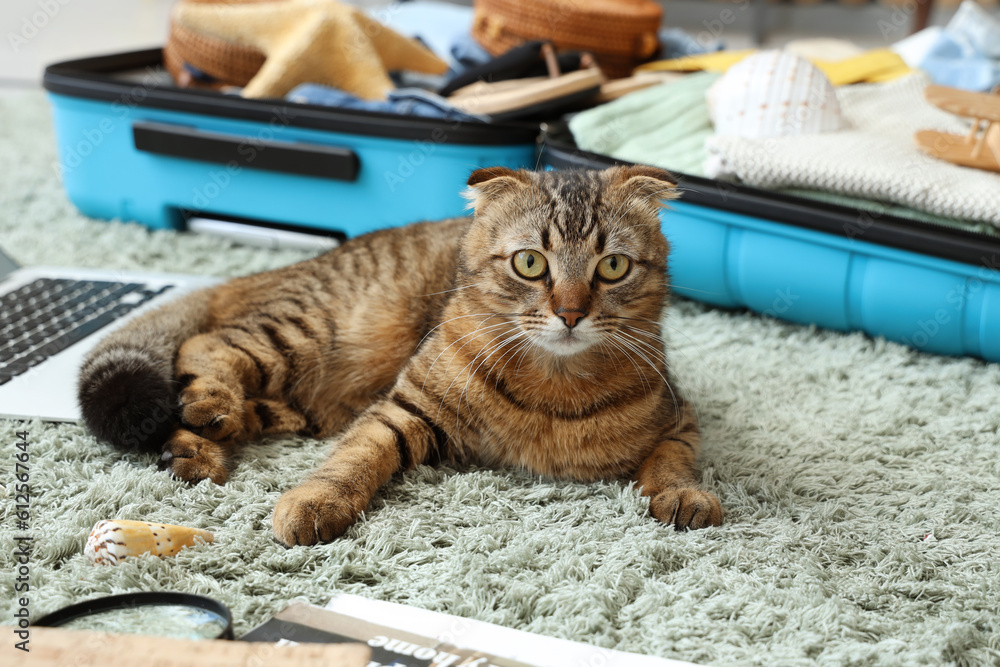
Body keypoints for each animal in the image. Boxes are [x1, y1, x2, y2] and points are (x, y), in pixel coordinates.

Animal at [76, 164, 720, 544]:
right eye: (530, 262)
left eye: (612, 267)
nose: (569, 312)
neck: (555, 386)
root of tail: (266, 273)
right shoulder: (403, 409)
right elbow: (356, 457)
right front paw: (316, 500)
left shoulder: (679, 416)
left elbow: (673, 459)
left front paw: (683, 495)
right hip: (301, 332)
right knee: (205, 344)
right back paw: (210, 408)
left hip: (303, 401)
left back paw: (193, 448)